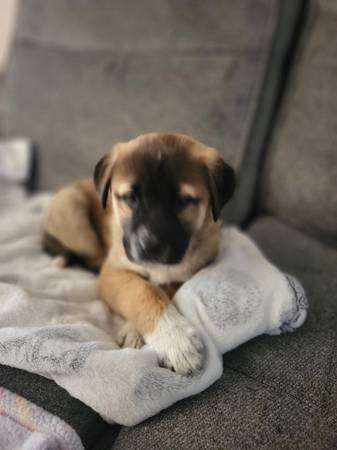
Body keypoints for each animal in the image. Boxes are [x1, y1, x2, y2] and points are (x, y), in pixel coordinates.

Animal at [44, 134, 234, 376]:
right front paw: (177, 342)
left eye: (183, 201)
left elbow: (158, 290)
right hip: (74, 215)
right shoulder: (114, 272)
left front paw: (142, 332)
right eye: (130, 198)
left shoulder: (181, 275)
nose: (151, 247)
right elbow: (142, 290)